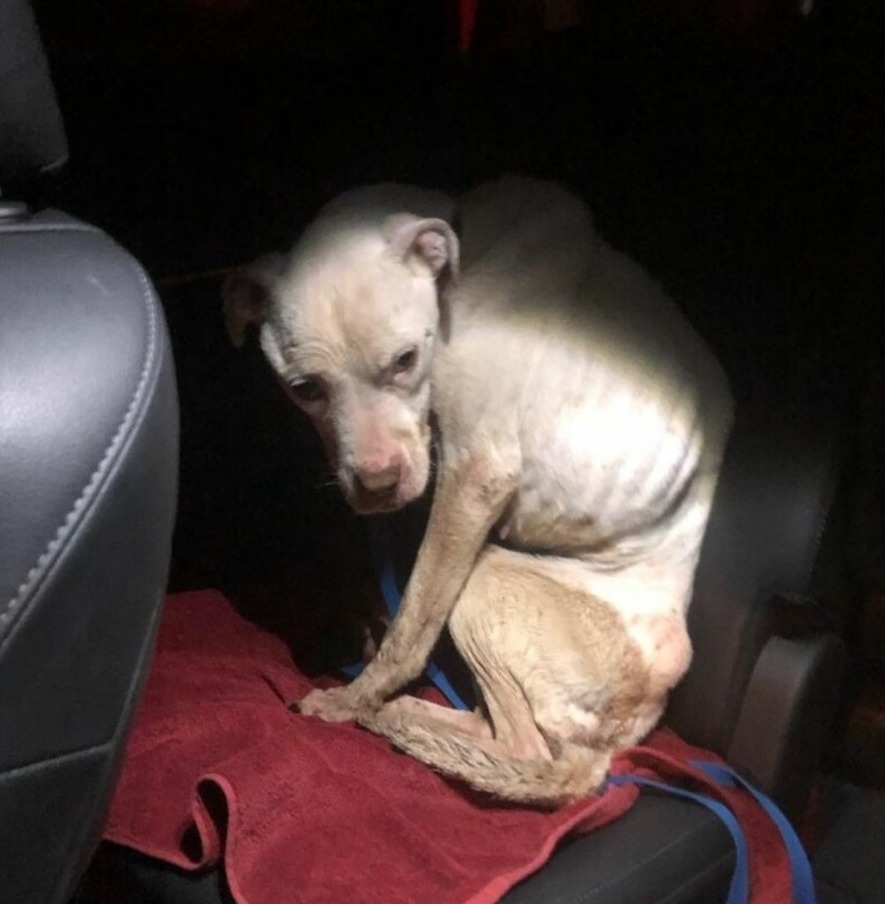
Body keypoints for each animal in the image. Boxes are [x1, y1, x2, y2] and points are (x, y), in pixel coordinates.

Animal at [222, 176, 733, 808]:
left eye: (405, 360)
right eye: (305, 389)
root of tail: (611, 748)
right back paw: (412, 718)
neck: (460, 261)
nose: (377, 486)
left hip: (486, 582)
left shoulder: (475, 474)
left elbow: (413, 622)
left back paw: (386, 716)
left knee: (523, 744)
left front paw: (351, 699)